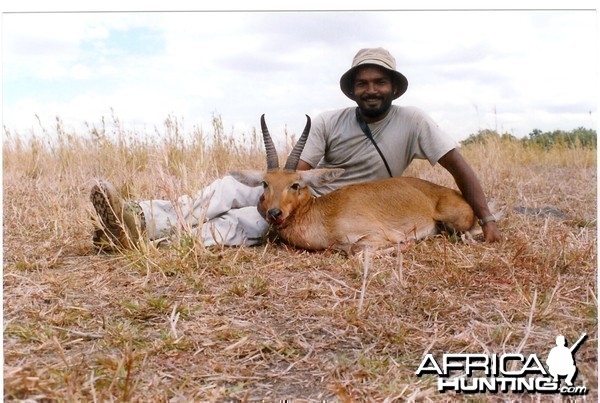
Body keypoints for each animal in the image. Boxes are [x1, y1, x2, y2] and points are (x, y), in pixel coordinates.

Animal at [231, 114, 502, 252]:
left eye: (295, 184)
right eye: (265, 183)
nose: (274, 213)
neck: (323, 214)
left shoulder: (373, 236)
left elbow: (356, 250)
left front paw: (406, 243)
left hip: (455, 223)